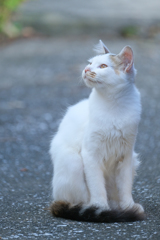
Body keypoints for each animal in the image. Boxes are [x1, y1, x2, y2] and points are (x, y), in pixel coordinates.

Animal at [49, 40, 145, 222]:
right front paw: (100, 208)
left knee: (114, 195)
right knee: (80, 199)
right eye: (90, 63)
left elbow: (125, 187)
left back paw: (117, 207)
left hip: (134, 160)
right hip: (73, 162)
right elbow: (97, 187)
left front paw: (128, 206)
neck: (114, 107)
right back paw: (93, 209)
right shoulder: (91, 154)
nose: (86, 70)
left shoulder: (126, 155)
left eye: (103, 66)